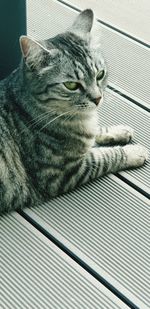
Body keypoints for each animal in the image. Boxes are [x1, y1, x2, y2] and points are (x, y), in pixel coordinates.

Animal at [0, 8, 148, 213]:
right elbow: (106, 156)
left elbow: (98, 132)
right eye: (71, 85)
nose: (97, 98)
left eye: (100, 74)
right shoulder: (64, 172)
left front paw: (119, 130)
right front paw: (133, 152)